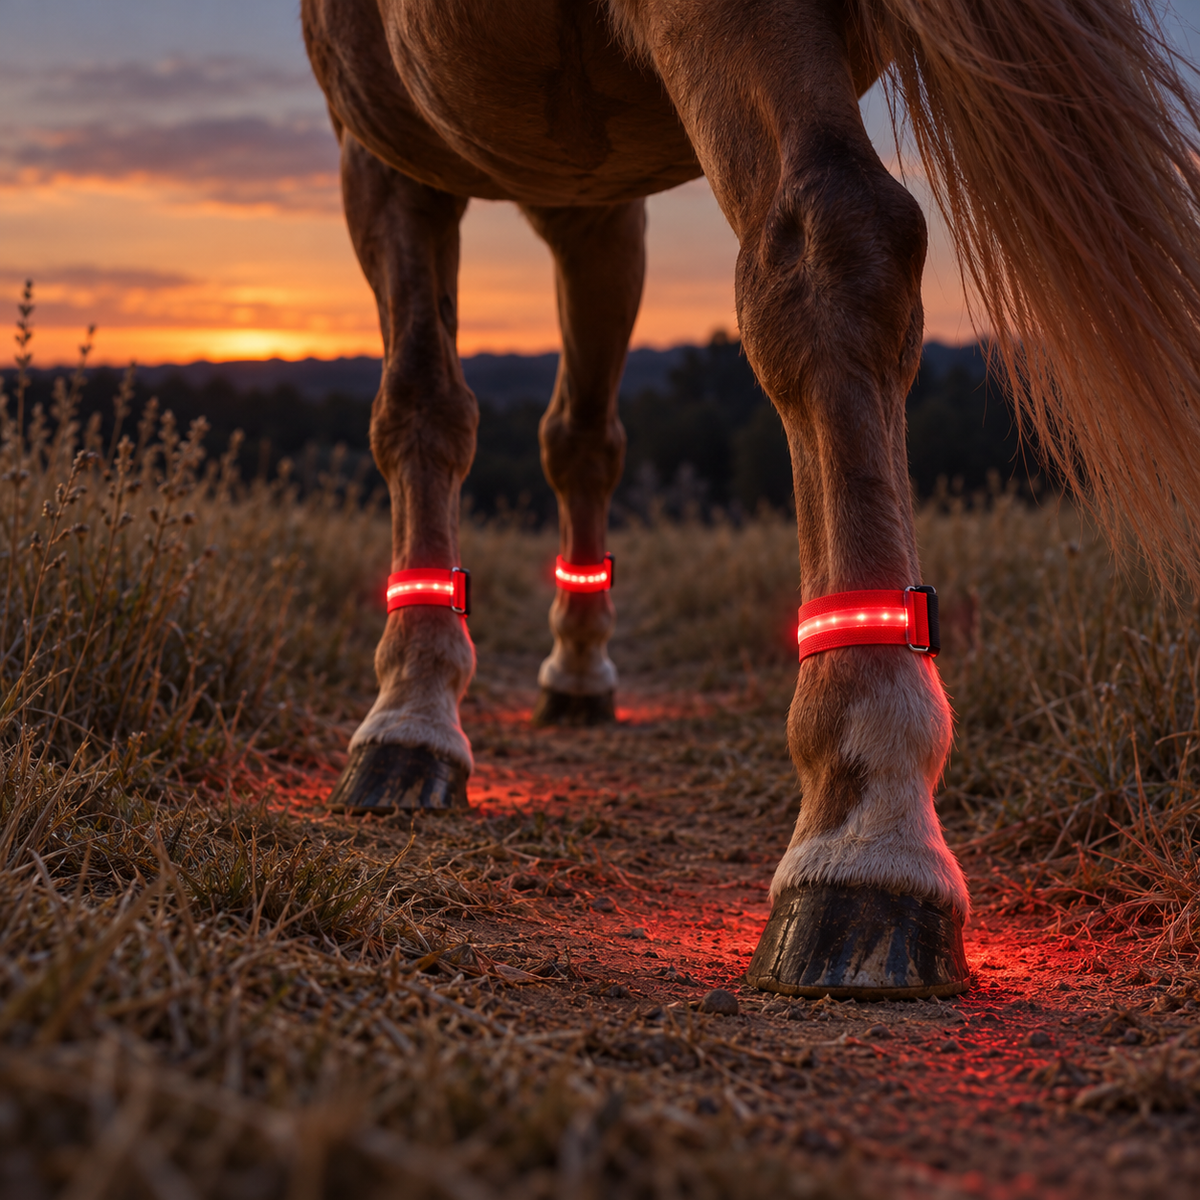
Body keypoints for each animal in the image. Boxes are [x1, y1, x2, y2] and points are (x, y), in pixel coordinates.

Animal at [301, 0, 1200, 999]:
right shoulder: (585, 193)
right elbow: (559, 432)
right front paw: (540, 670)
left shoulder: (378, 141)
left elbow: (419, 404)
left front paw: (408, 714)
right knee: (618, 411)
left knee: (816, 243)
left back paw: (863, 834)